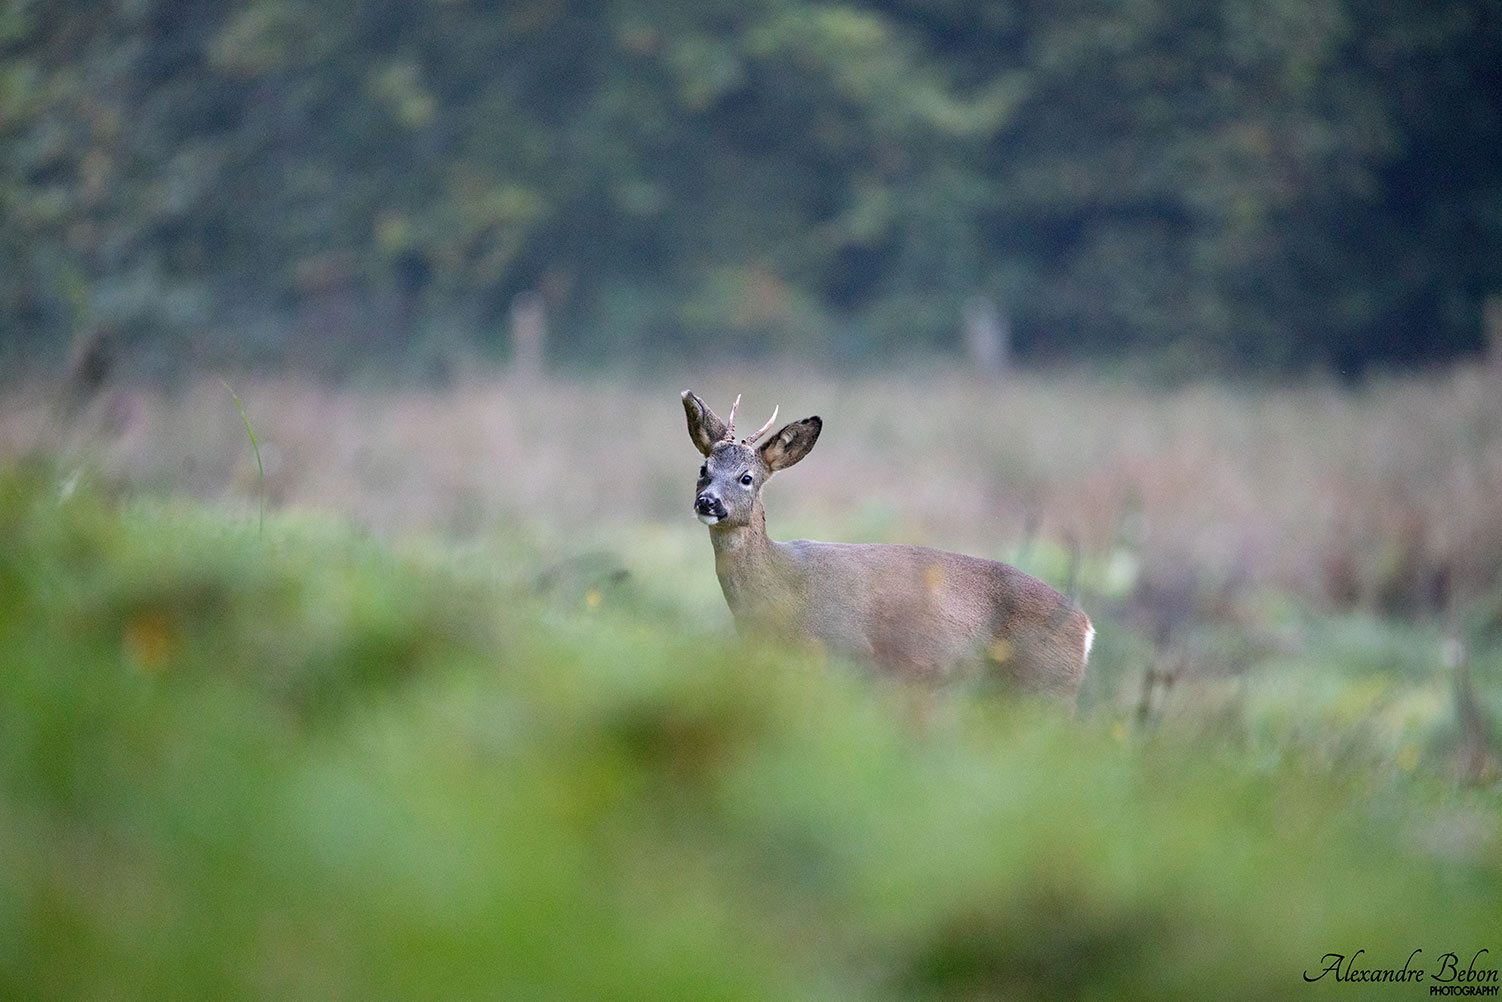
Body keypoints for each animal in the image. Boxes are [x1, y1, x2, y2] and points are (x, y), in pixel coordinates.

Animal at [683, 391, 1093, 702]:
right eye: (704, 469)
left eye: (747, 477)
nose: (707, 502)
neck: (781, 592)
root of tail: (1085, 626)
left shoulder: (845, 652)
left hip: (1045, 684)